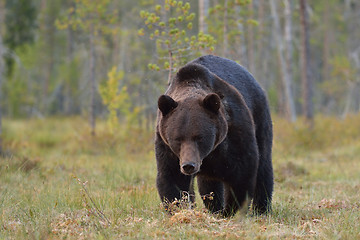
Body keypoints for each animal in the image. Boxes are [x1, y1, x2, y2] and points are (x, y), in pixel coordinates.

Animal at [155, 55, 272, 217]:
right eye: (178, 138)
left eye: (199, 137)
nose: (188, 165)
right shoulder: (167, 147)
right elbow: (172, 178)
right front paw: (180, 210)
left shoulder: (233, 132)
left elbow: (241, 173)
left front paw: (231, 210)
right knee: (208, 184)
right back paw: (214, 207)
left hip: (259, 116)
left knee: (263, 164)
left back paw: (261, 209)